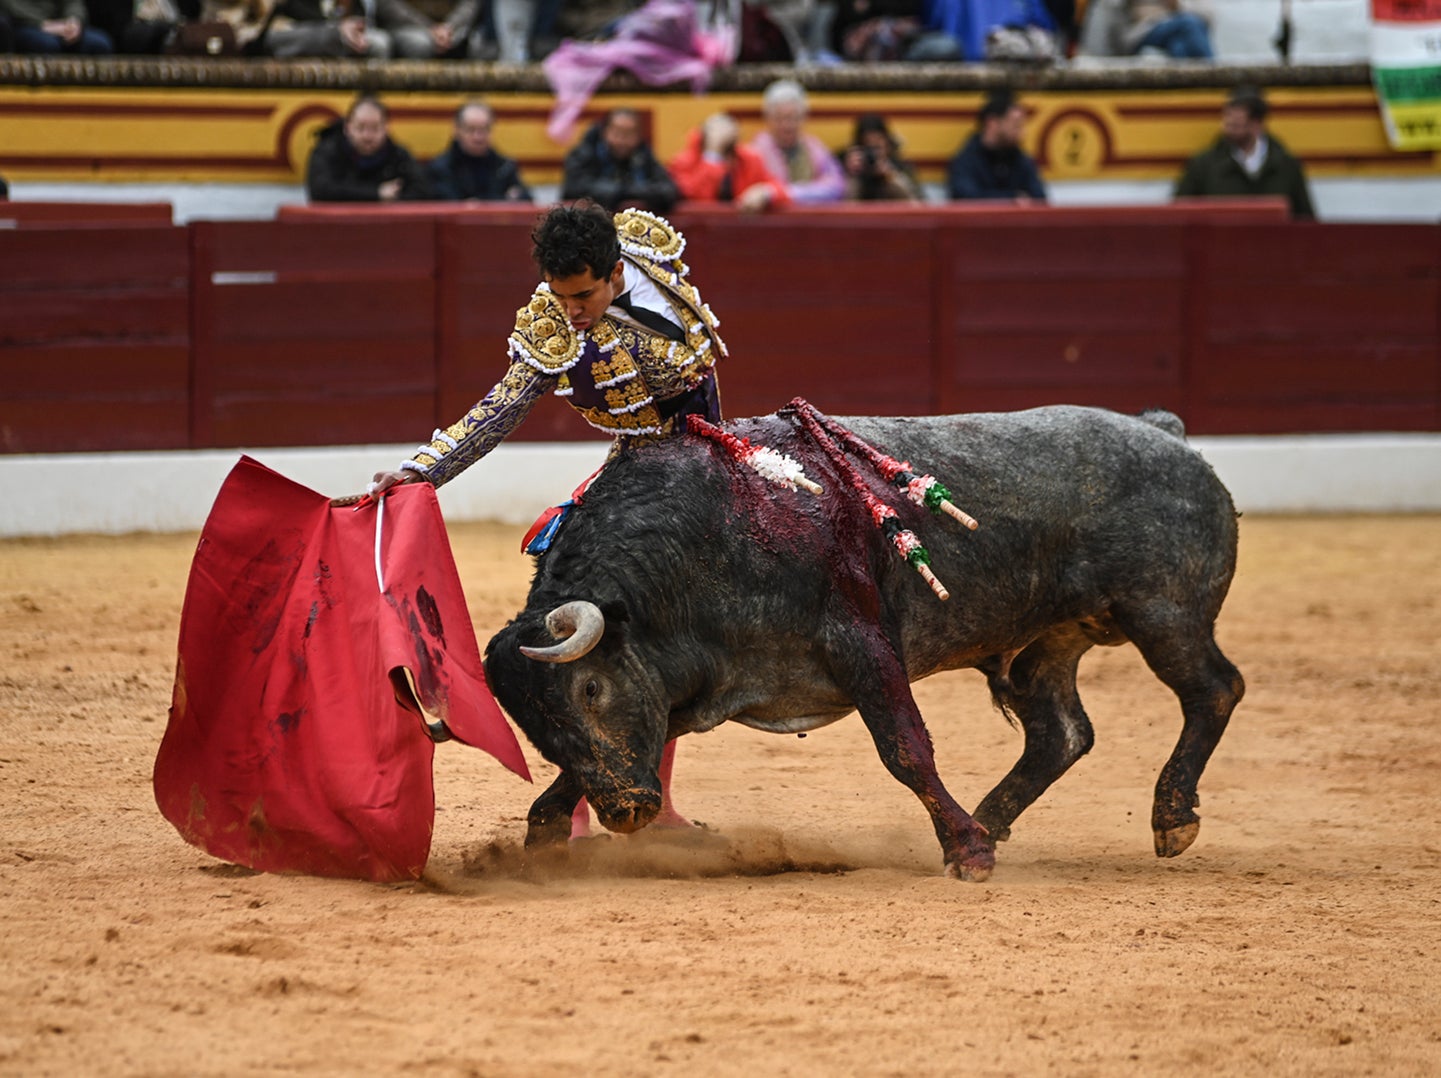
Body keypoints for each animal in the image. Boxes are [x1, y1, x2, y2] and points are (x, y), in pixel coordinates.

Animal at [481, 403, 1239, 881]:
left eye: (590, 687)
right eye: (536, 728)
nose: (627, 812)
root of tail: (1166, 434)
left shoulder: (862, 644)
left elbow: (904, 748)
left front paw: (966, 854)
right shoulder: (685, 687)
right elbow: (596, 761)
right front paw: (542, 836)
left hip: (1163, 614)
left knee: (1214, 689)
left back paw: (1171, 816)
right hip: (1043, 645)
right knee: (1061, 733)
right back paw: (992, 819)